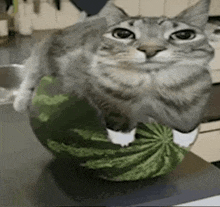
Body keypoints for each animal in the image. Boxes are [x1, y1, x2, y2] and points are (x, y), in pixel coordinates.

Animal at [12, 0, 215, 148]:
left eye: (183, 35)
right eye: (123, 34)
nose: (150, 50)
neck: (151, 84)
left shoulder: (199, 91)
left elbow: (188, 116)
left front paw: (184, 137)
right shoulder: (91, 82)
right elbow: (114, 108)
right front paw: (122, 137)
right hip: (45, 53)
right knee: (31, 75)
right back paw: (21, 101)